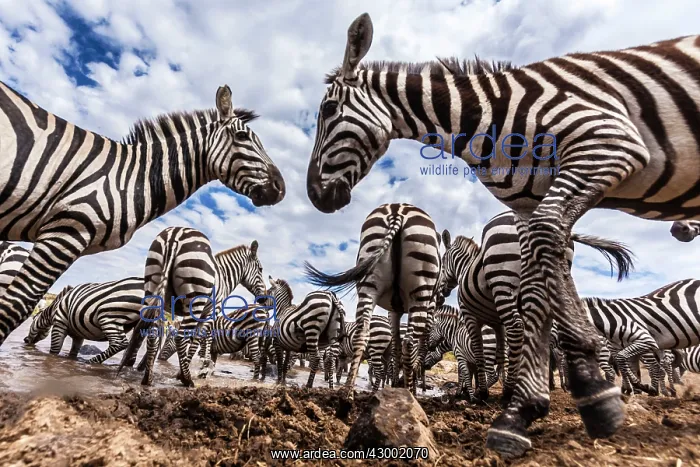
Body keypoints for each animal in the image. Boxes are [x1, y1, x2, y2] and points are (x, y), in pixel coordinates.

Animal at [304, 203, 442, 396]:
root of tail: (397, 210)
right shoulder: (429, 308)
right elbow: (418, 350)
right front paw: (408, 387)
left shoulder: (394, 310)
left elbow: (395, 348)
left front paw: (395, 385)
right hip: (420, 290)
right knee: (409, 343)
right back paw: (409, 392)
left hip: (368, 283)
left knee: (363, 333)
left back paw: (347, 392)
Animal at [439, 211, 634, 403]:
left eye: (442, 261)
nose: (441, 293)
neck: (464, 269)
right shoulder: (496, 322)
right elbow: (501, 353)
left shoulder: (470, 315)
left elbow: (479, 352)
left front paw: (482, 392)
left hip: (503, 280)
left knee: (517, 329)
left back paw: (509, 392)